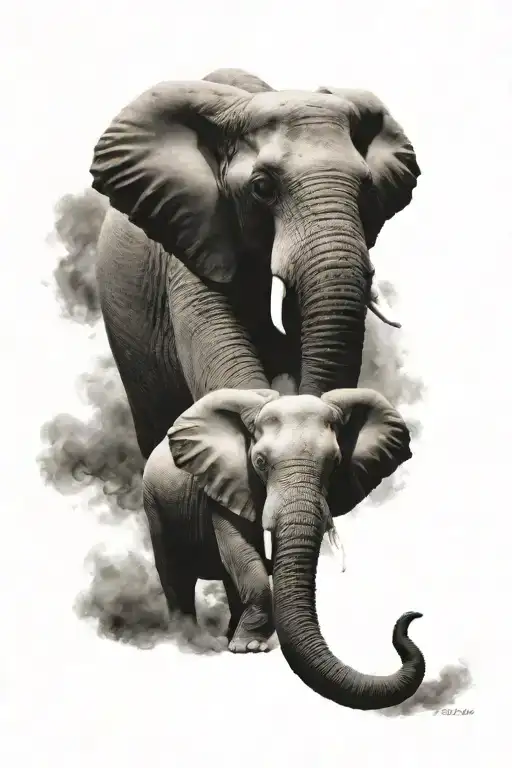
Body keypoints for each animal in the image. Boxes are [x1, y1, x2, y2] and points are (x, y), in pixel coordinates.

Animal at [142, 386, 425, 711]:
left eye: (336, 462)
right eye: (260, 462)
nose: (413, 616)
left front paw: (248, 645)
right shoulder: (224, 480)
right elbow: (239, 549)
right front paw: (250, 648)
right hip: (154, 502)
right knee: (174, 572)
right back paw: (196, 643)